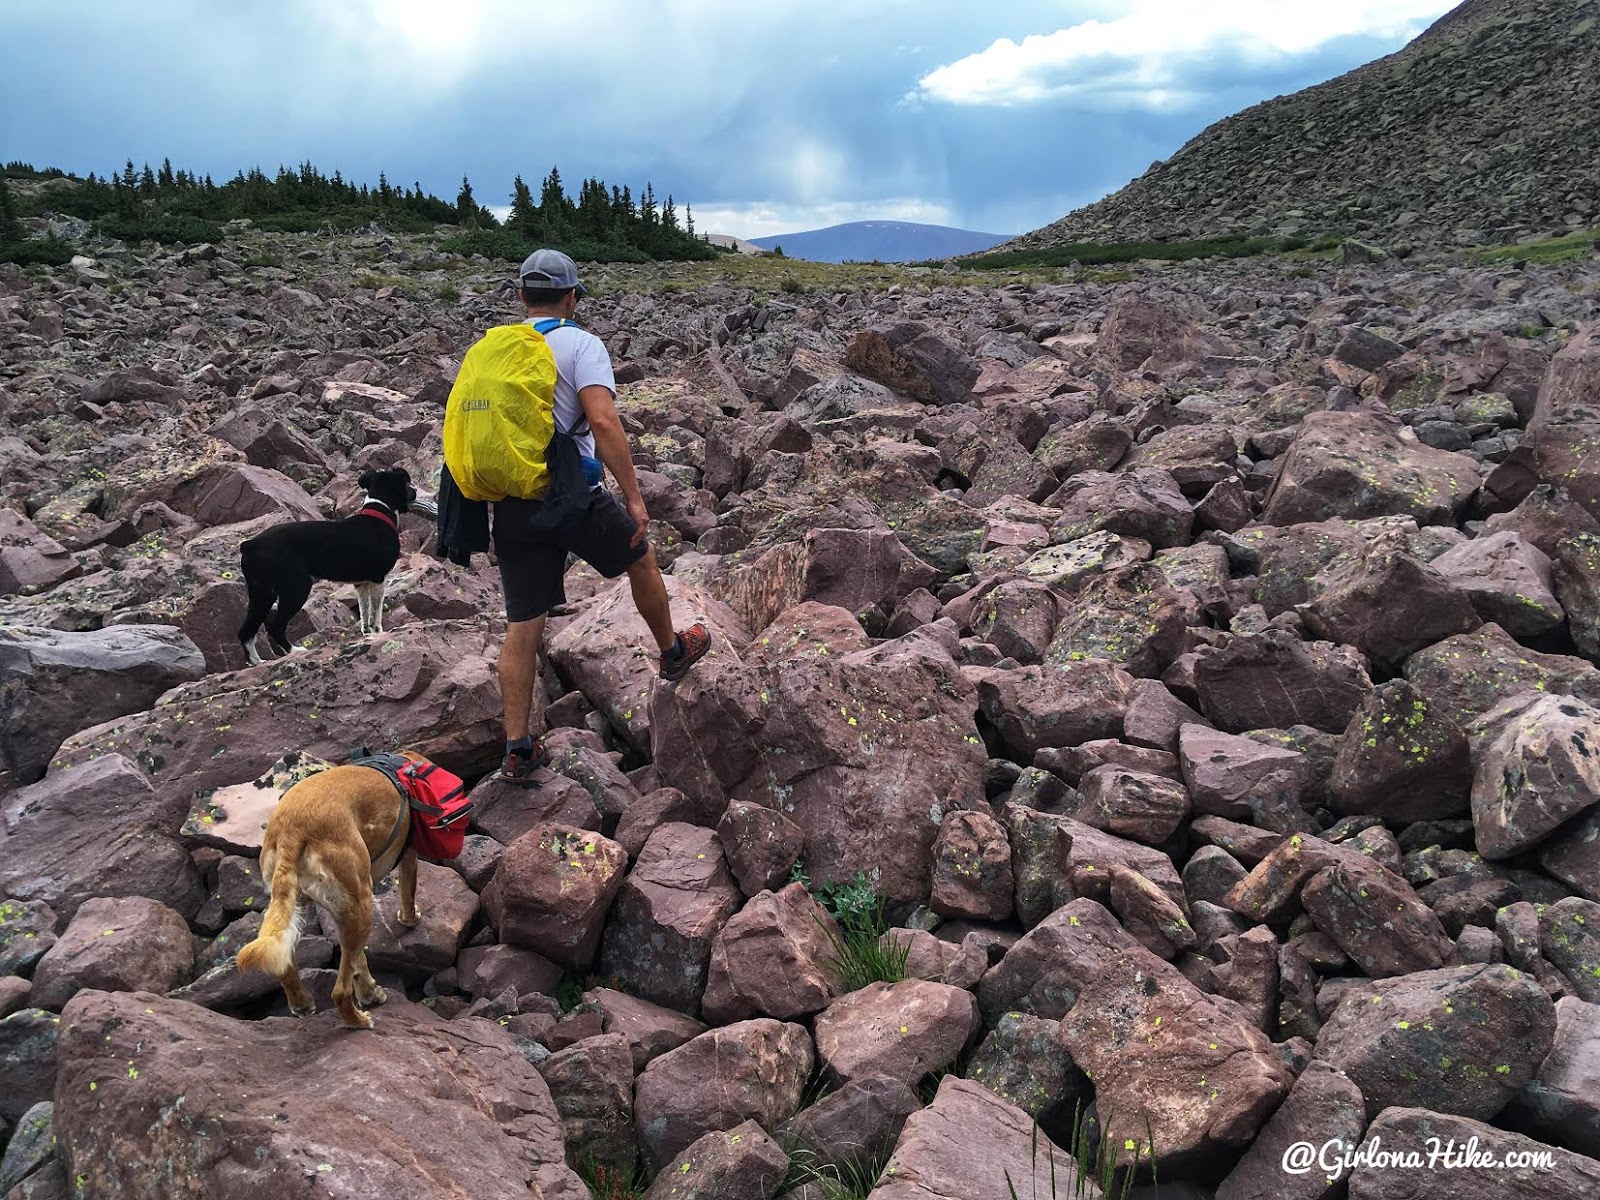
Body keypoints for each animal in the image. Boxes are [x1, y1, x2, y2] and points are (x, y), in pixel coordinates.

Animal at [233, 761, 422, 1036]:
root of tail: (291, 829)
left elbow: (358, 961)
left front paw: (368, 992)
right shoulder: (408, 854)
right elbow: (409, 891)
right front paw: (410, 919)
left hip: (299, 903)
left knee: (288, 964)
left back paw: (303, 1003)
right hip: (360, 902)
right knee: (340, 991)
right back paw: (357, 1020)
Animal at [235, 470, 425, 668]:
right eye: (406, 484)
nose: (415, 492)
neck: (379, 512)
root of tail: (250, 545)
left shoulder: (362, 584)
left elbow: (364, 611)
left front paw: (368, 634)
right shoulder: (378, 579)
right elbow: (376, 612)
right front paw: (379, 633)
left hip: (262, 592)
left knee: (246, 631)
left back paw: (257, 661)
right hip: (296, 588)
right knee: (274, 626)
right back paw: (295, 651)